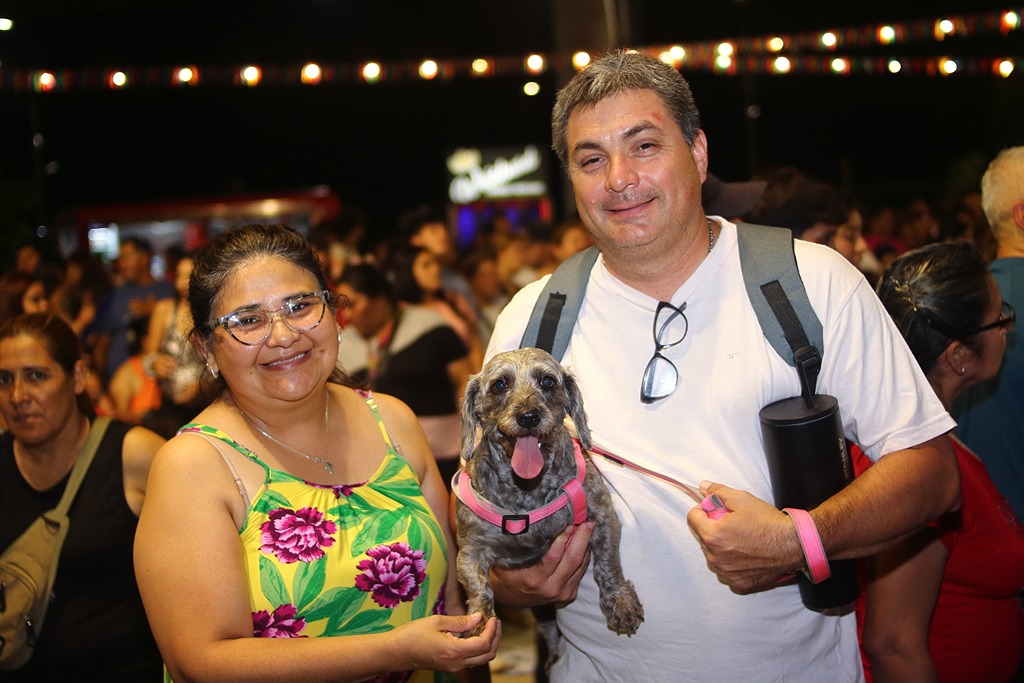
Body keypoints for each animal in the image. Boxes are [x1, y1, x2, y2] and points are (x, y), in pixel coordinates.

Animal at [453, 347, 643, 660]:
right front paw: (480, 621)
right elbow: (479, 589)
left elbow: (608, 565)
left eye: (547, 381)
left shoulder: (604, 518)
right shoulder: (470, 551)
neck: (527, 492)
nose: (529, 416)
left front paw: (620, 601)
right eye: (499, 385)